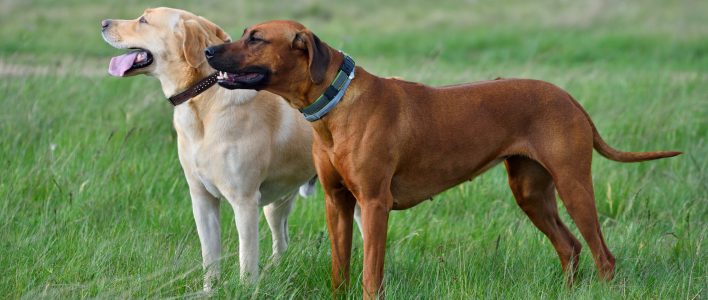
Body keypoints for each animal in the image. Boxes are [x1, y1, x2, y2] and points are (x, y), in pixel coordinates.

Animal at [101, 6, 316, 288]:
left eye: (144, 20)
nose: (103, 22)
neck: (203, 99)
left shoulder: (244, 202)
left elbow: (246, 261)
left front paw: (246, 290)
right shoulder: (202, 200)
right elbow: (210, 258)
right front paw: (208, 290)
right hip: (277, 205)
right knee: (282, 244)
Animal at [203, 20, 680, 298]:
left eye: (256, 39)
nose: (208, 52)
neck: (336, 103)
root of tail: (570, 98)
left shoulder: (374, 204)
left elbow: (370, 273)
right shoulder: (336, 202)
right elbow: (341, 269)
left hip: (573, 184)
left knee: (603, 255)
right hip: (530, 191)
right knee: (571, 246)